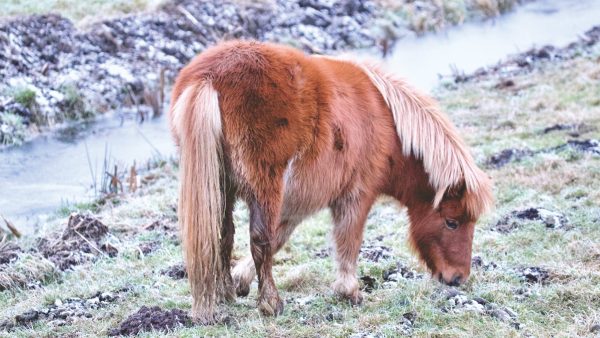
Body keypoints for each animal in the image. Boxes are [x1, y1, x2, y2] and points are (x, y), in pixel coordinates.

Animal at [168, 39, 492, 322]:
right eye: (452, 222)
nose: (457, 278)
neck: (388, 124)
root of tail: (210, 78)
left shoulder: (298, 200)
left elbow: (280, 236)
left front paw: (240, 280)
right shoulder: (356, 195)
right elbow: (347, 239)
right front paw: (350, 292)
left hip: (222, 187)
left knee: (223, 236)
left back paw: (225, 294)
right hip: (264, 187)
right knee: (258, 239)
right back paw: (271, 303)